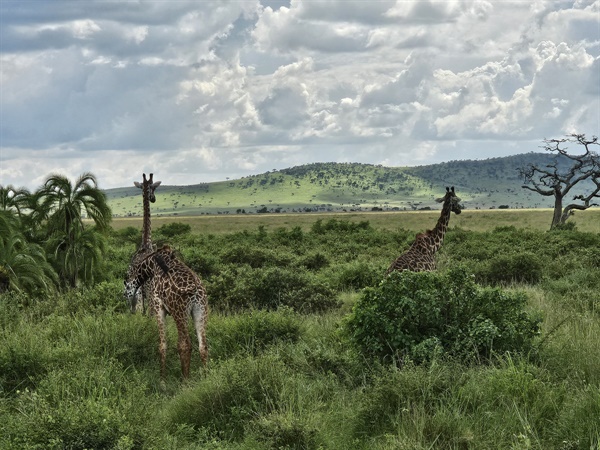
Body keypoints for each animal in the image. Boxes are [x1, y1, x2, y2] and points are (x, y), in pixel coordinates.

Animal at [122, 244, 209, 378]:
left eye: (126, 294)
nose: (131, 311)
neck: (151, 265)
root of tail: (195, 290)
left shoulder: (158, 305)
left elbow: (162, 345)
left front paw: (162, 379)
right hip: (201, 309)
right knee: (203, 345)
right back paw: (207, 377)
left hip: (179, 311)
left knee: (184, 344)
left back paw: (185, 380)